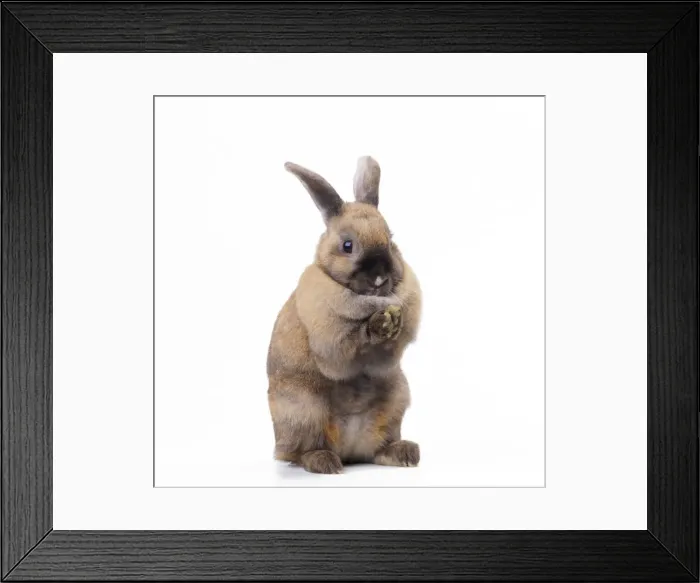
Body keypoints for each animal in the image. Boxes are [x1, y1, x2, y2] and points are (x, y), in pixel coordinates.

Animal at [266, 156, 422, 474]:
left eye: (390, 240)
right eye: (347, 246)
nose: (380, 278)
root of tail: (349, 452)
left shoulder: (388, 361)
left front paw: (391, 321)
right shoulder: (331, 345)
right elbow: (346, 350)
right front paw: (379, 324)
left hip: (396, 400)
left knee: (377, 450)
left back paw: (404, 453)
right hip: (304, 411)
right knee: (299, 453)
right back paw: (324, 462)